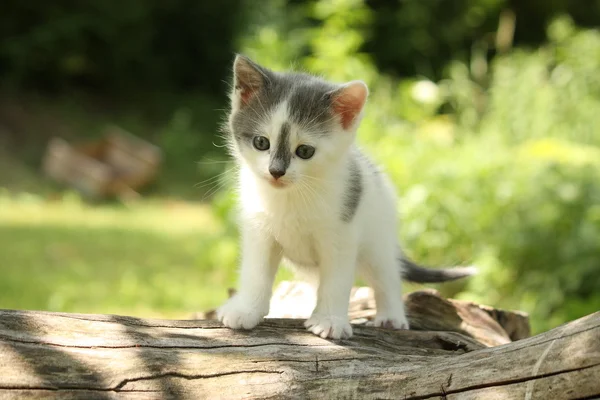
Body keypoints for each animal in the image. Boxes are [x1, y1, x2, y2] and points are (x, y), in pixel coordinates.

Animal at [216, 54, 474, 340]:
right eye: (261, 143)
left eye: (304, 151)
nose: (276, 171)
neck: (292, 196)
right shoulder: (258, 229)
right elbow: (256, 271)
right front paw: (246, 310)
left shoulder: (341, 234)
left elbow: (337, 281)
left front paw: (329, 320)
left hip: (378, 239)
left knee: (387, 275)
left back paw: (391, 316)